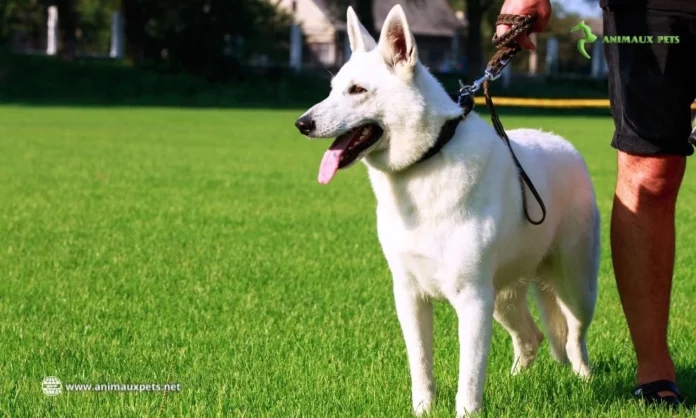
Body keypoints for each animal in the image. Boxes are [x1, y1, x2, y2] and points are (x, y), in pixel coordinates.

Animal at [294, 4, 600, 416]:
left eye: (357, 90)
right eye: (332, 90)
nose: (302, 123)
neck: (424, 163)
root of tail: (567, 147)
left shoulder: (472, 301)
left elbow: (468, 378)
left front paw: (466, 410)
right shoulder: (410, 297)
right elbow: (421, 366)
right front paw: (423, 408)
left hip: (574, 288)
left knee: (573, 340)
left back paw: (585, 381)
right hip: (503, 297)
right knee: (531, 337)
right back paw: (515, 381)